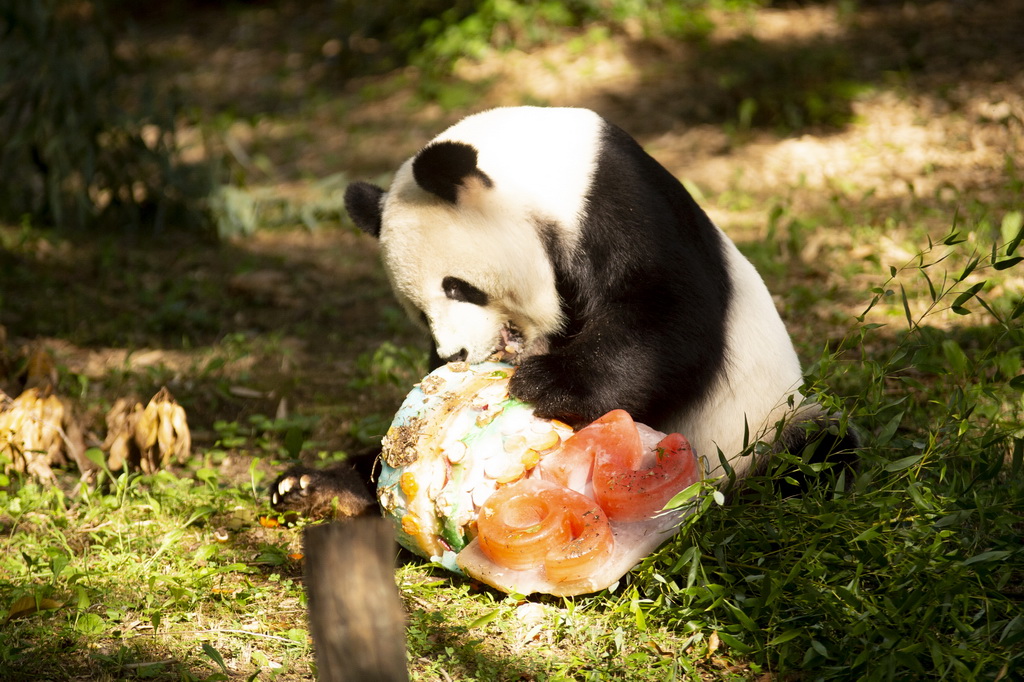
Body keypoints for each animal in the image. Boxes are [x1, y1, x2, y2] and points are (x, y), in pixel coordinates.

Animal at [274, 104, 856, 516]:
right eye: (418, 312)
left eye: (459, 288)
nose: (451, 354)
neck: (539, 167)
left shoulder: (619, 201)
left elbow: (667, 314)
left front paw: (548, 384)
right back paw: (314, 486)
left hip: (763, 428)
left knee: (817, 454)